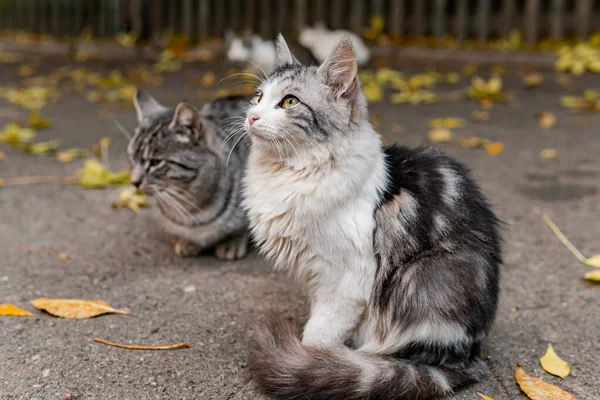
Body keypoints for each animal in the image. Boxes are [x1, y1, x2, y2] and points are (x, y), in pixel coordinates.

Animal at [243, 36, 502, 398]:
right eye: (258, 97)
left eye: (289, 101)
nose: (251, 116)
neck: (288, 172)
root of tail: (468, 356)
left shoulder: (348, 279)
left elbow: (319, 336)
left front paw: (311, 363)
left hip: (424, 279)